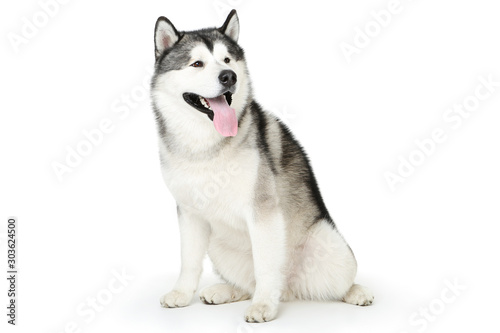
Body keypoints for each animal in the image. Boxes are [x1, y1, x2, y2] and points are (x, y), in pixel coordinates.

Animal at [148, 9, 372, 322]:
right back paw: (226, 291)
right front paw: (181, 293)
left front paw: (264, 305)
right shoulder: (189, 213)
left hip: (329, 242)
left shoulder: (263, 211)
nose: (228, 76)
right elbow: (189, 260)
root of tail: (289, 290)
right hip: (219, 246)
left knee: (338, 281)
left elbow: (266, 265)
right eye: (197, 63)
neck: (206, 146)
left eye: (227, 60)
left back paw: (355, 292)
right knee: (249, 283)